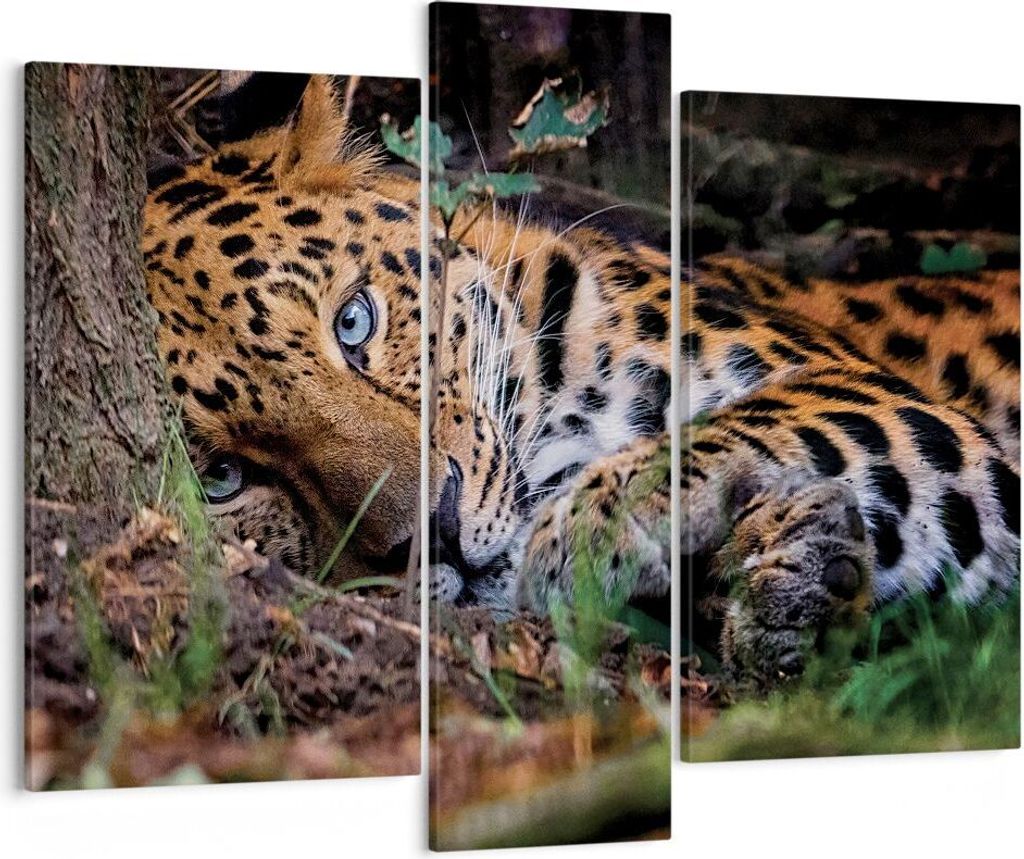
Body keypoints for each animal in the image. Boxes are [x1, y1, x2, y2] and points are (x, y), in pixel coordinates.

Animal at [142, 75, 1020, 687]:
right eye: (222, 479)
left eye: (354, 322)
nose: (437, 531)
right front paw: (801, 585)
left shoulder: (885, 398)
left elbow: (788, 409)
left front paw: (603, 519)